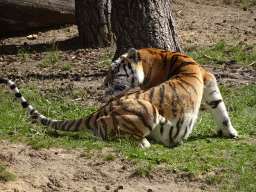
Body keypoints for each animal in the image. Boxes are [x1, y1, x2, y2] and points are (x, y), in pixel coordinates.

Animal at [0, 47, 238, 147]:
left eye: (113, 70)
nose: (103, 83)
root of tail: (98, 111)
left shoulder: (207, 78)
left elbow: (219, 107)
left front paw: (229, 133)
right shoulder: (207, 78)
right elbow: (219, 107)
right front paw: (230, 132)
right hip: (147, 110)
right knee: (105, 128)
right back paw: (143, 143)